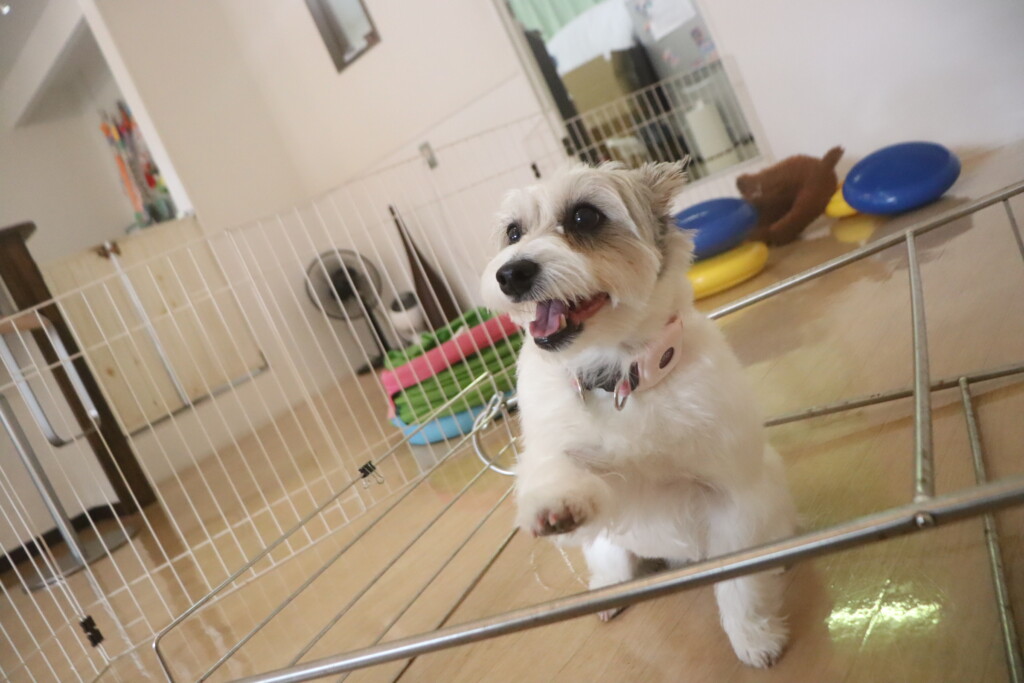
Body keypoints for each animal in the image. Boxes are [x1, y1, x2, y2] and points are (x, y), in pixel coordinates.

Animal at [480, 162, 797, 668]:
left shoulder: (734, 501)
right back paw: (608, 591)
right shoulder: (574, 455)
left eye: (585, 217)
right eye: (513, 232)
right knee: (610, 566)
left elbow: (742, 583)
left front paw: (754, 635)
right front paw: (554, 503)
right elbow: (556, 465)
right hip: (607, 548)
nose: (510, 273)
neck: (620, 378)